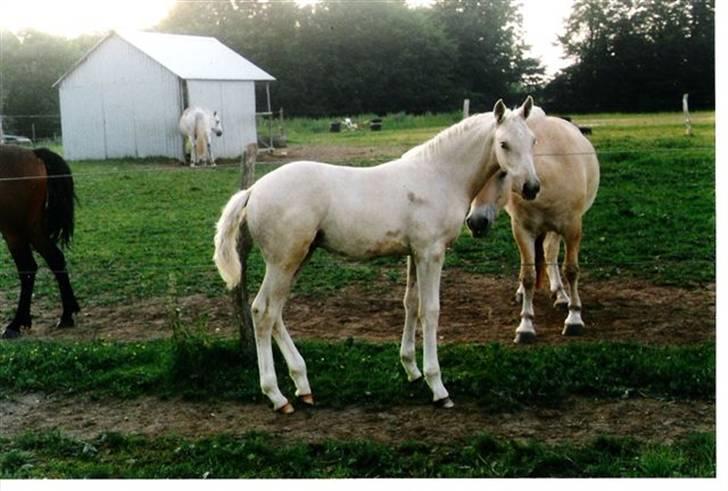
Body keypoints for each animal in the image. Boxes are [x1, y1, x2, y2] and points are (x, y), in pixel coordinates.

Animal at [0, 145, 80, 339]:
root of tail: (33, 153)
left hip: (14, 231)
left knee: (28, 268)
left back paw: (16, 324)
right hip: (33, 229)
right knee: (55, 259)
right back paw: (66, 316)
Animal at [213, 97, 541, 413]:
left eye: (533, 141)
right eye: (504, 144)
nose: (532, 187)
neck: (438, 176)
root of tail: (253, 190)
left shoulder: (414, 254)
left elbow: (411, 304)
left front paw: (412, 370)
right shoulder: (431, 253)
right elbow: (430, 311)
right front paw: (438, 388)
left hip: (297, 258)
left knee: (276, 311)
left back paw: (302, 385)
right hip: (283, 261)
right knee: (263, 312)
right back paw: (277, 396)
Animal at [466, 108, 600, 344]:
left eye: (502, 174)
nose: (476, 222)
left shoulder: (572, 228)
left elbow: (571, 270)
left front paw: (574, 318)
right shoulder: (522, 230)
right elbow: (528, 276)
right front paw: (525, 327)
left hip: (556, 230)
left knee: (551, 253)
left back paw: (561, 295)